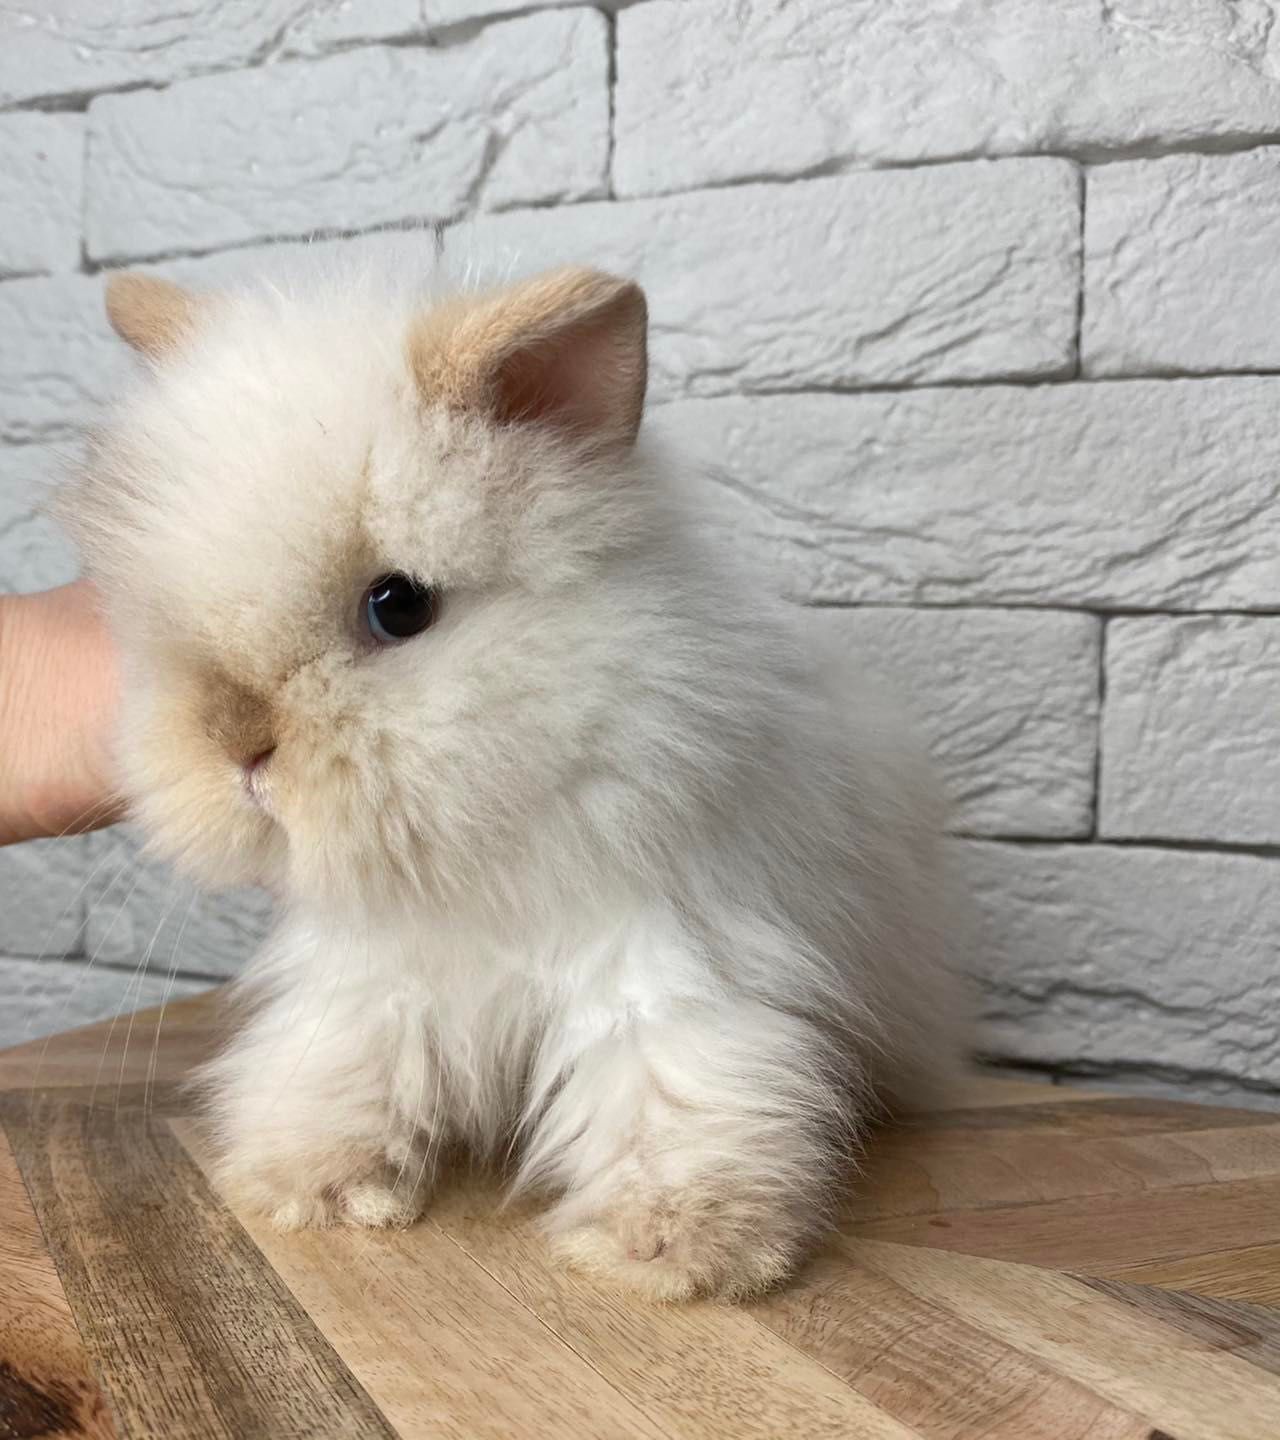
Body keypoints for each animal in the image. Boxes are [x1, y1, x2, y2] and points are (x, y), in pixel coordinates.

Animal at [59, 253, 956, 1301]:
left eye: (398, 606)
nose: (238, 753)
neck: (483, 848)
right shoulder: (377, 986)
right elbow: (345, 1065)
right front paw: (320, 1189)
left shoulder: (665, 969)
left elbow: (670, 1092)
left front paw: (677, 1254)